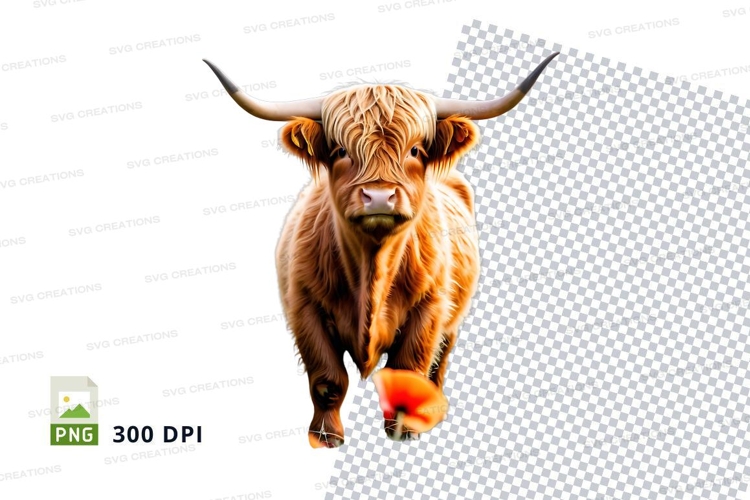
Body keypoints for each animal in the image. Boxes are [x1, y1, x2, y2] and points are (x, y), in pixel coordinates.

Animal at [203, 52, 559, 447]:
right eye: (340, 151)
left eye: (416, 149)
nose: (378, 196)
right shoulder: (303, 309)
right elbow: (328, 380)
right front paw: (326, 437)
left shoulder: (429, 310)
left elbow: (409, 370)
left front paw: (403, 433)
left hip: (453, 318)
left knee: (440, 363)